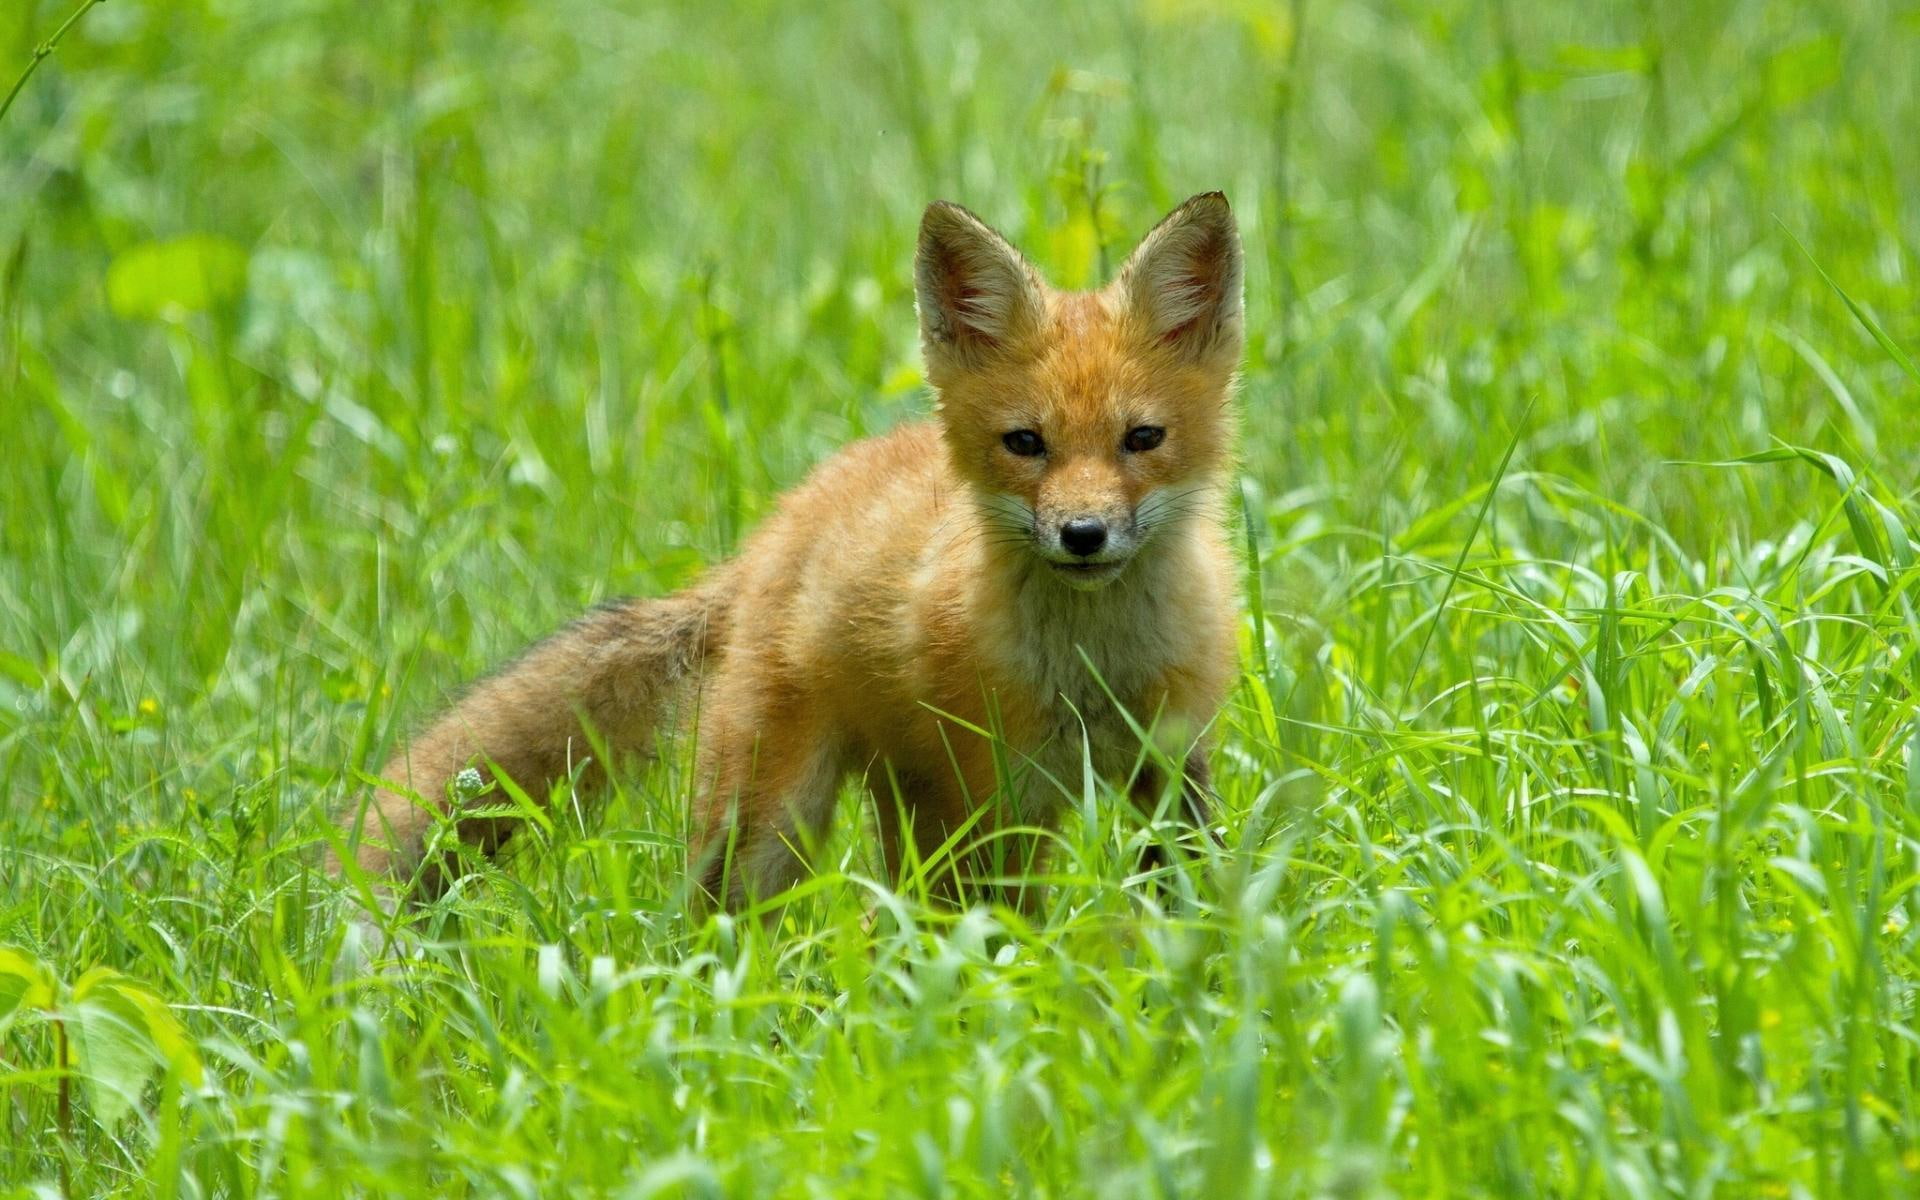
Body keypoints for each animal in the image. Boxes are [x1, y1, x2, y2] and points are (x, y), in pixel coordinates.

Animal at [330, 191, 1245, 917]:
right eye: (1026, 443)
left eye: (1142, 439)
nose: (1083, 534)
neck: (1094, 668)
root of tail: (775, 529)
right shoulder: (1002, 794)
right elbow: (1000, 932)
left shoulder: (1172, 764)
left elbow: (1192, 892)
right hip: (771, 819)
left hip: (901, 801)